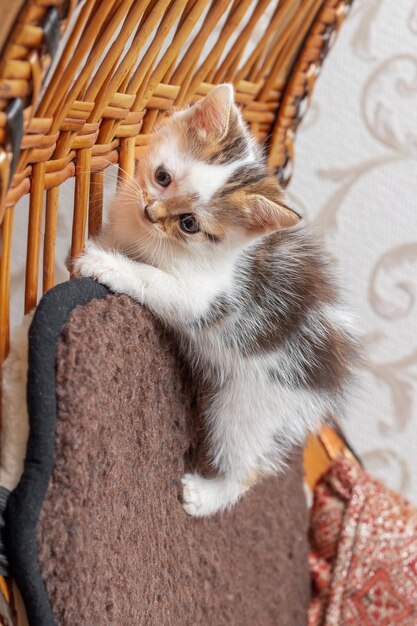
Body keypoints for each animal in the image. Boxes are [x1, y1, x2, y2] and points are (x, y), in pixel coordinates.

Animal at [73, 84, 356, 516]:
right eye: (162, 177)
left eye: (189, 223)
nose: (150, 212)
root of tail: (330, 382)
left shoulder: (203, 295)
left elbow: (153, 280)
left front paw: (104, 265)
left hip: (250, 406)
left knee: (249, 469)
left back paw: (206, 496)